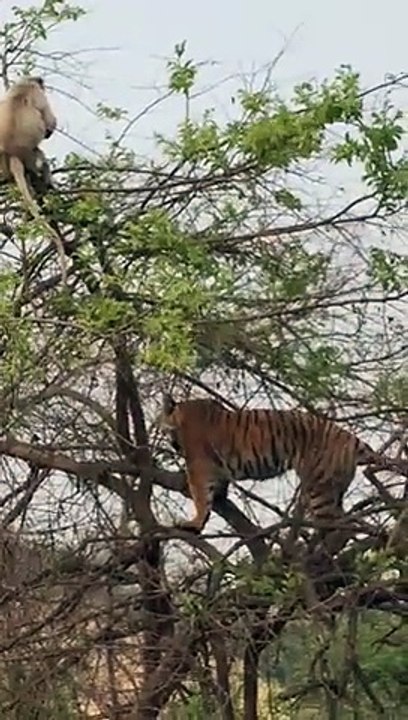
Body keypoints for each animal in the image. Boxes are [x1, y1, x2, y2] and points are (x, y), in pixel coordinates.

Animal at [0, 77, 67, 282]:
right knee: (40, 156)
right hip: (29, 154)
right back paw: (46, 180)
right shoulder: (38, 94)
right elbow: (49, 122)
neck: (24, 84)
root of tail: (12, 152)